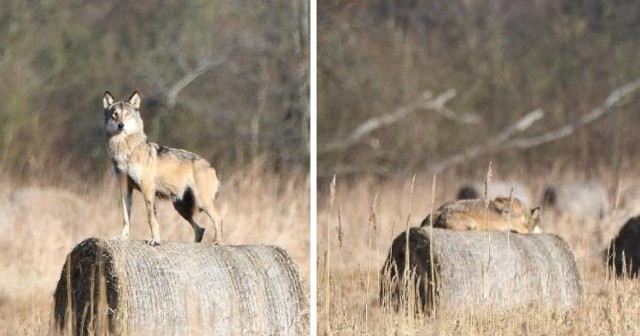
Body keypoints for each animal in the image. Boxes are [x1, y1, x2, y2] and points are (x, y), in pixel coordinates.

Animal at [102, 90, 222, 245]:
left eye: (127, 114)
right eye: (115, 114)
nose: (120, 125)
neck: (125, 150)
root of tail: (211, 166)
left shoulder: (147, 188)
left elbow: (151, 218)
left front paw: (155, 240)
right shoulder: (125, 189)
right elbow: (125, 218)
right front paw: (123, 238)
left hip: (201, 202)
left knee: (218, 219)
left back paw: (217, 242)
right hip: (181, 208)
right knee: (200, 229)